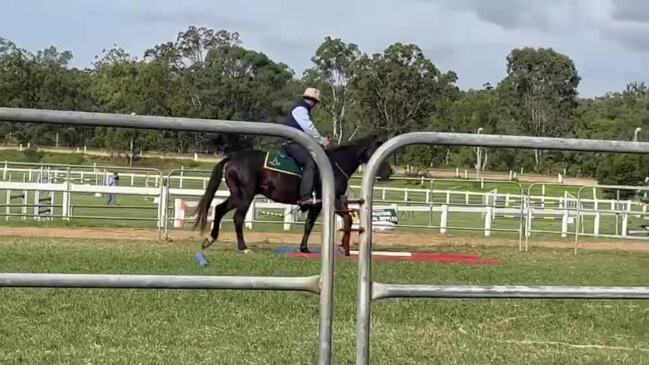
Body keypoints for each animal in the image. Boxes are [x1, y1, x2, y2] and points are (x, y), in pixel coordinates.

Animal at [192, 136, 392, 256]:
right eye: (378, 152)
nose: (389, 172)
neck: (334, 166)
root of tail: (233, 158)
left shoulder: (321, 204)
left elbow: (311, 225)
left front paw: (306, 248)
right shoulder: (331, 201)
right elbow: (345, 220)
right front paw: (344, 247)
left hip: (237, 195)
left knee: (219, 209)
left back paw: (210, 239)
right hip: (245, 196)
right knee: (238, 218)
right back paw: (243, 247)